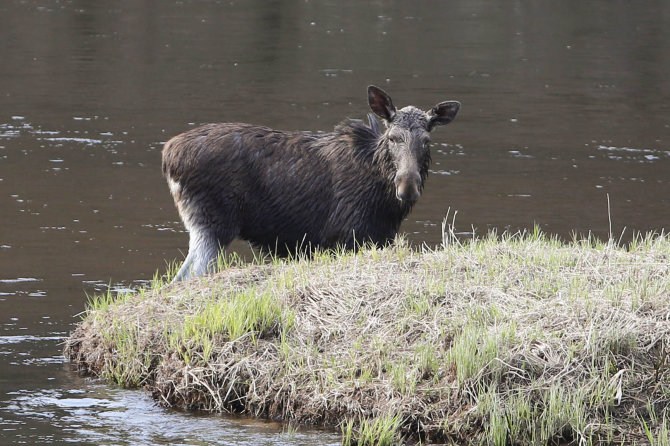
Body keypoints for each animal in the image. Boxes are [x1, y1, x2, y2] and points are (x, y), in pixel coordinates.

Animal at [163, 86, 462, 280]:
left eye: (427, 140)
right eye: (393, 137)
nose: (407, 187)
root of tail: (168, 154)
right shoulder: (348, 237)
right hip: (213, 225)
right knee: (187, 276)